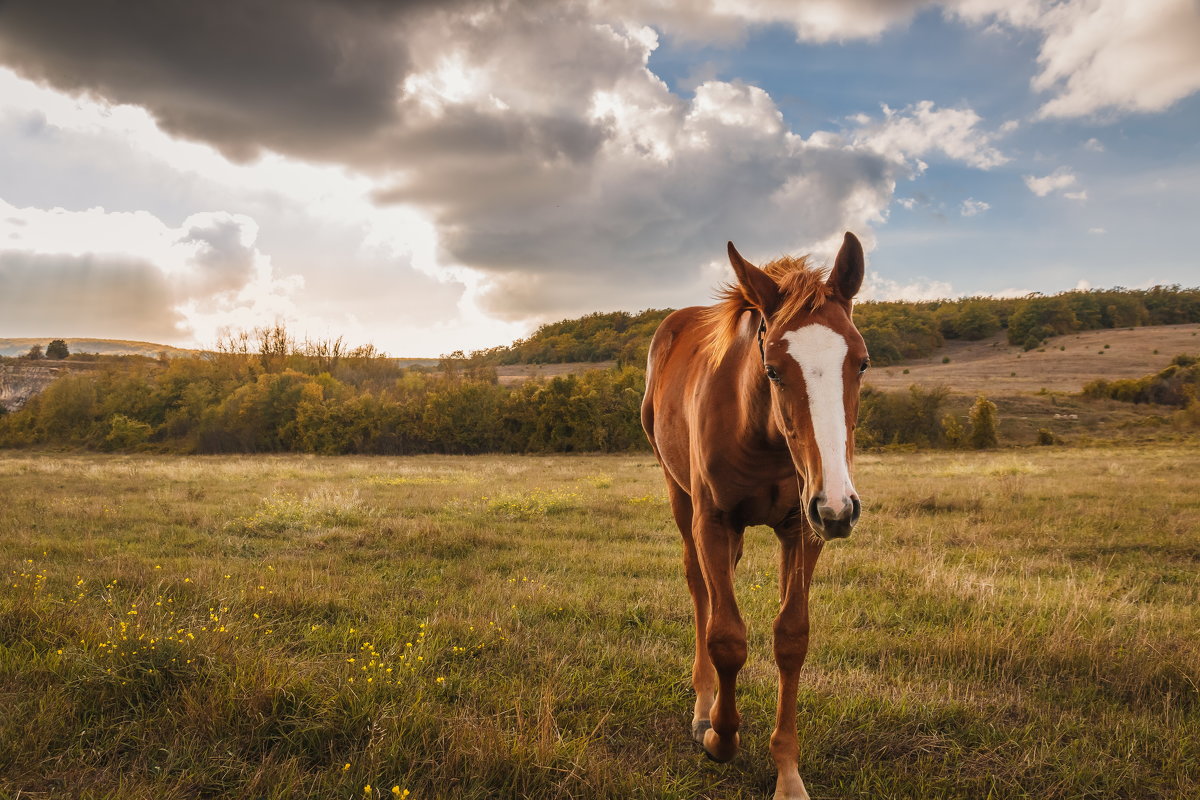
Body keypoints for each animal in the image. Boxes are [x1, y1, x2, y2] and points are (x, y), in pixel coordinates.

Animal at [643, 231, 868, 800]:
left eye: (861, 362)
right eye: (773, 369)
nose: (840, 505)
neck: (762, 433)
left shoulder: (804, 528)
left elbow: (791, 638)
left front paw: (787, 772)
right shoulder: (713, 522)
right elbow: (726, 638)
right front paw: (720, 737)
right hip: (680, 499)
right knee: (700, 589)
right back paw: (704, 707)